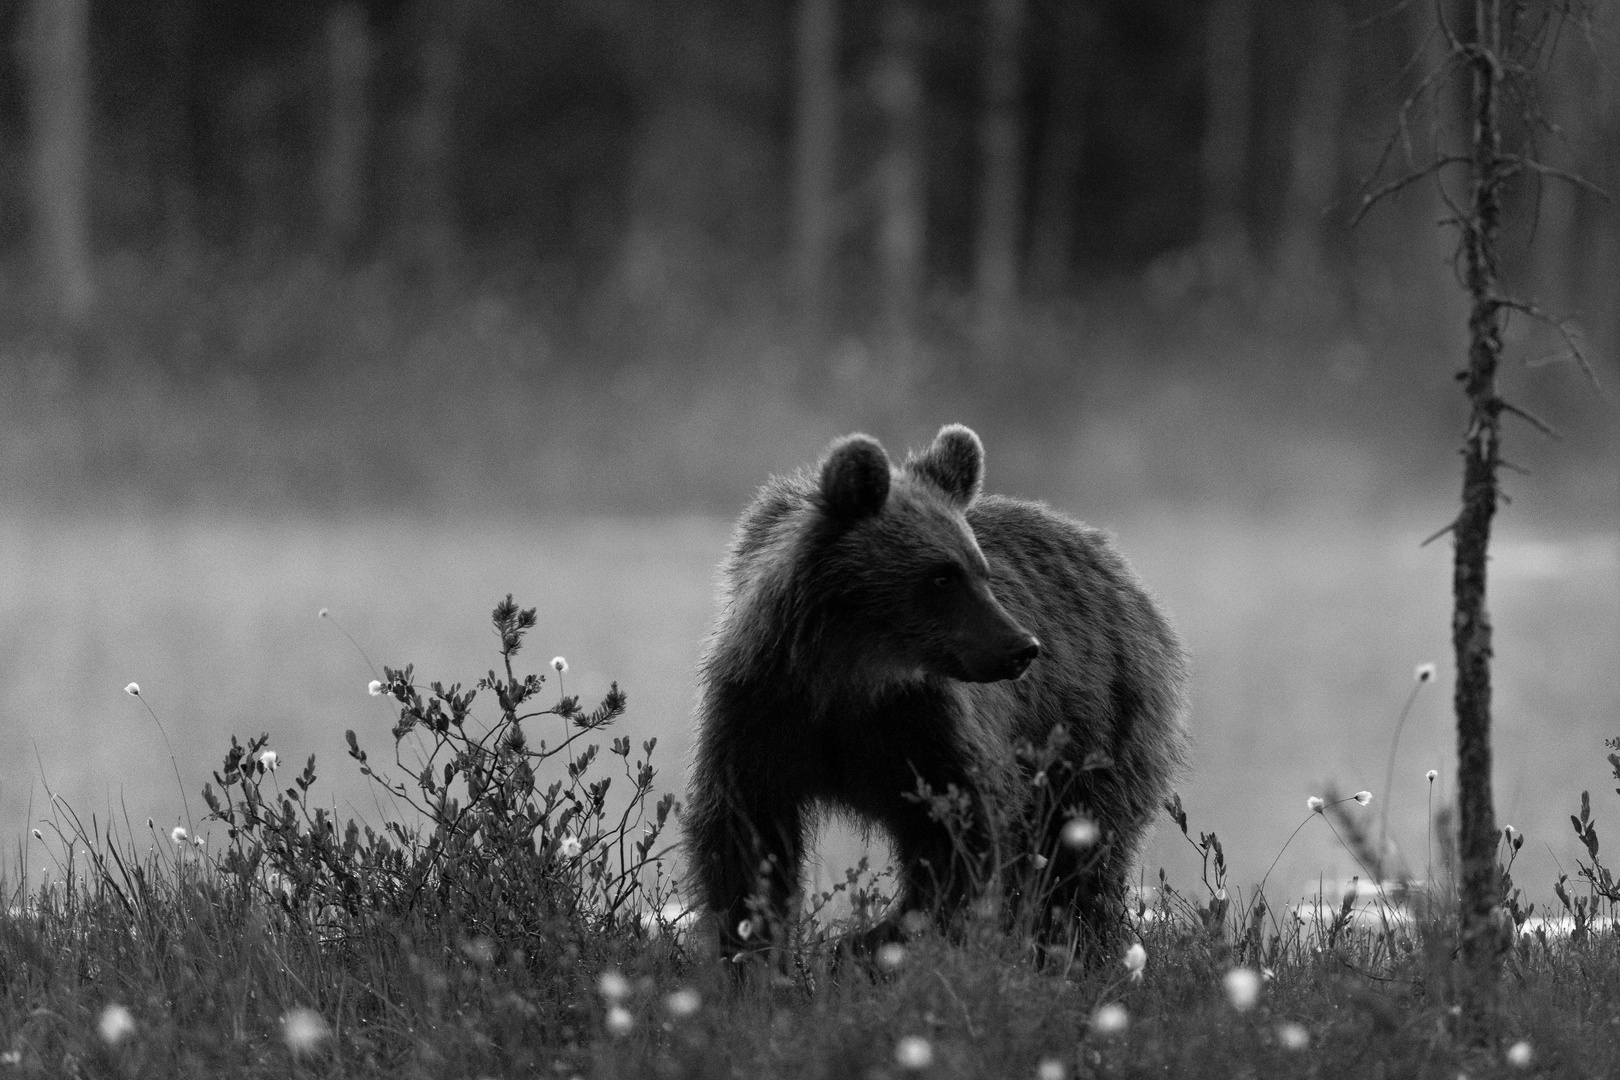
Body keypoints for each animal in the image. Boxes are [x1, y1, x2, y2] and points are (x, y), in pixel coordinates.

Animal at [683, 420, 1192, 965]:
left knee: (1082, 851)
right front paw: (749, 949)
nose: (1022, 647)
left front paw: (867, 945)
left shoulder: (925, 729)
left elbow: (961, 837)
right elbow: (745, 840)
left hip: (1096, 728)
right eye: (942, 576)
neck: (848, 680)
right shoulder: (763, 712)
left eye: (982, 571)